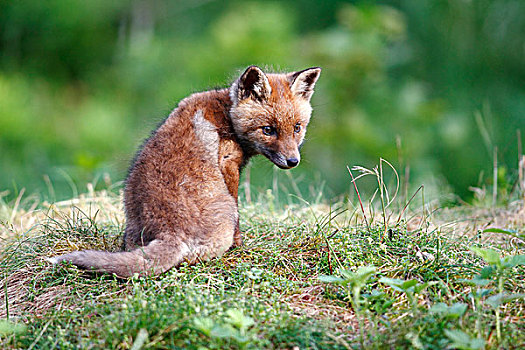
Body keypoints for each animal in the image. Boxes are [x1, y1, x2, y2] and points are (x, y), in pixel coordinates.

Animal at [48, 65, 320, 276]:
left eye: (297, 128)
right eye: (268, 130)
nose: (293, 161)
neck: (227, 115)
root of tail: (169, 232)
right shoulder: (228, 164)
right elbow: (239, 221)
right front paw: (240, 247)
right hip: (225, 211)